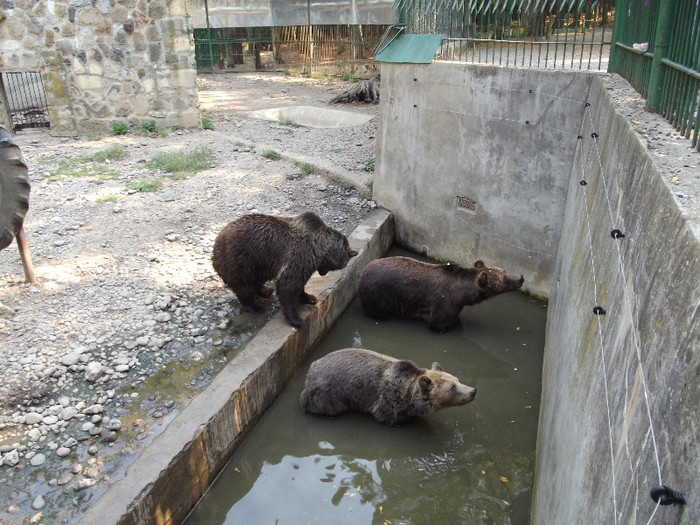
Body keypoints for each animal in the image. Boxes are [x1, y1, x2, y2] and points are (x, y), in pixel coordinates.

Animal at [212, 212, 356, 328]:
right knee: (244, 286)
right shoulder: (298, 255)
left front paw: (310, 297)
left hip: (257, 265)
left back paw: (266, 291)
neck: (319, 249)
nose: (323, 273)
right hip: (241, 261)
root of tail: (217, 240)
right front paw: (298, 320)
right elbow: (288, 286)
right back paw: (255, 307)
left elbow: (298, 285)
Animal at [298, 346, 478, 424]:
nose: (473, 390)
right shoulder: (389, 402)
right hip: (328, 394)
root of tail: (310, 370)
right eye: (452, 388)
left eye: (457, 380)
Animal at [358, 255, 524, 332]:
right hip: (379, 294)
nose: (521, 277)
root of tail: (364, 269)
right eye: (505, 279)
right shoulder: (443, 302)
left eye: (504, 271)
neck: (463, 294)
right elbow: (439, 323)